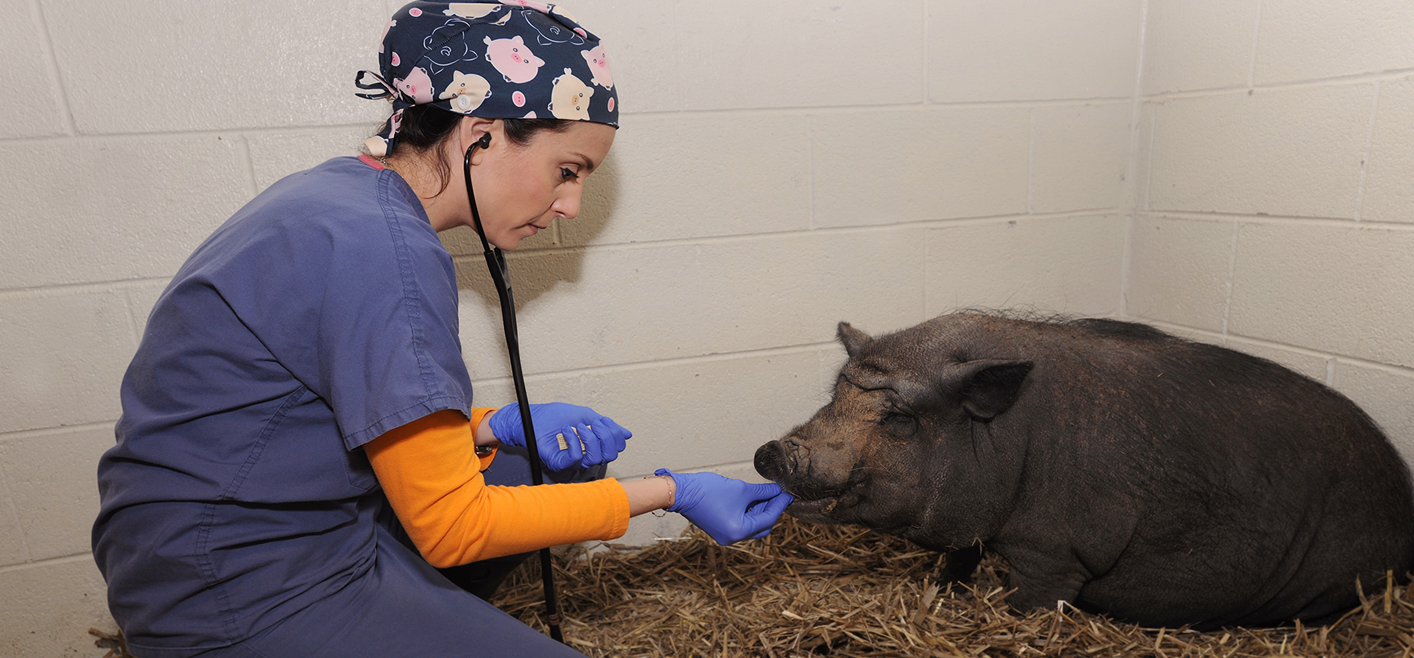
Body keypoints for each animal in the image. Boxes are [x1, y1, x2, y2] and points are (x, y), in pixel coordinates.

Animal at [754, 312, 1414, 629]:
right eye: (837, 393)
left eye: (898, 418)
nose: (771, 452)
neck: (1009, 442)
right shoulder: (972, 530)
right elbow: (957, 563)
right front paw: (945, 592)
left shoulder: (1058, 551)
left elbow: (1032, 605)